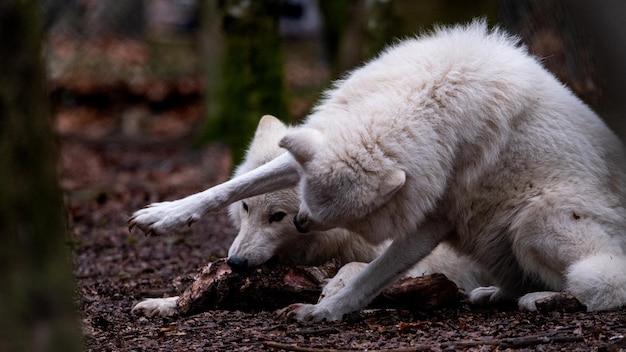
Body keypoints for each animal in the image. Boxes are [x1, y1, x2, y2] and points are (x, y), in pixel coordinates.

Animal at [130, 20, 624, 322]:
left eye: (280, 217)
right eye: (250, 211)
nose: (234, 263)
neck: (430, 94)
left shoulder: (431, 225)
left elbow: (369, 272)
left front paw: (326, 307)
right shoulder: (320, 145)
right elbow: (227, 186)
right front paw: (163, 222)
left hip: (535, 220)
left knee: (609, 285)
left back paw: (544, 299)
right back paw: (498, 295)